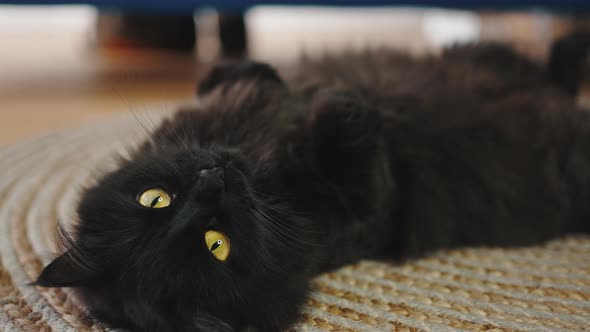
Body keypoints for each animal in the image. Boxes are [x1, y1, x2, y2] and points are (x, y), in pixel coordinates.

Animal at [35, 31, 590, 332]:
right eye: (217, 245)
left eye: (155, 199)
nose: (215, 178)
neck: (262, 170)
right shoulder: (368, 207)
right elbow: (355, 138)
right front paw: (342, 103)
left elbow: (228, 77)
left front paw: (279, 82)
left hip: (482, 53)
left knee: (551, 64)